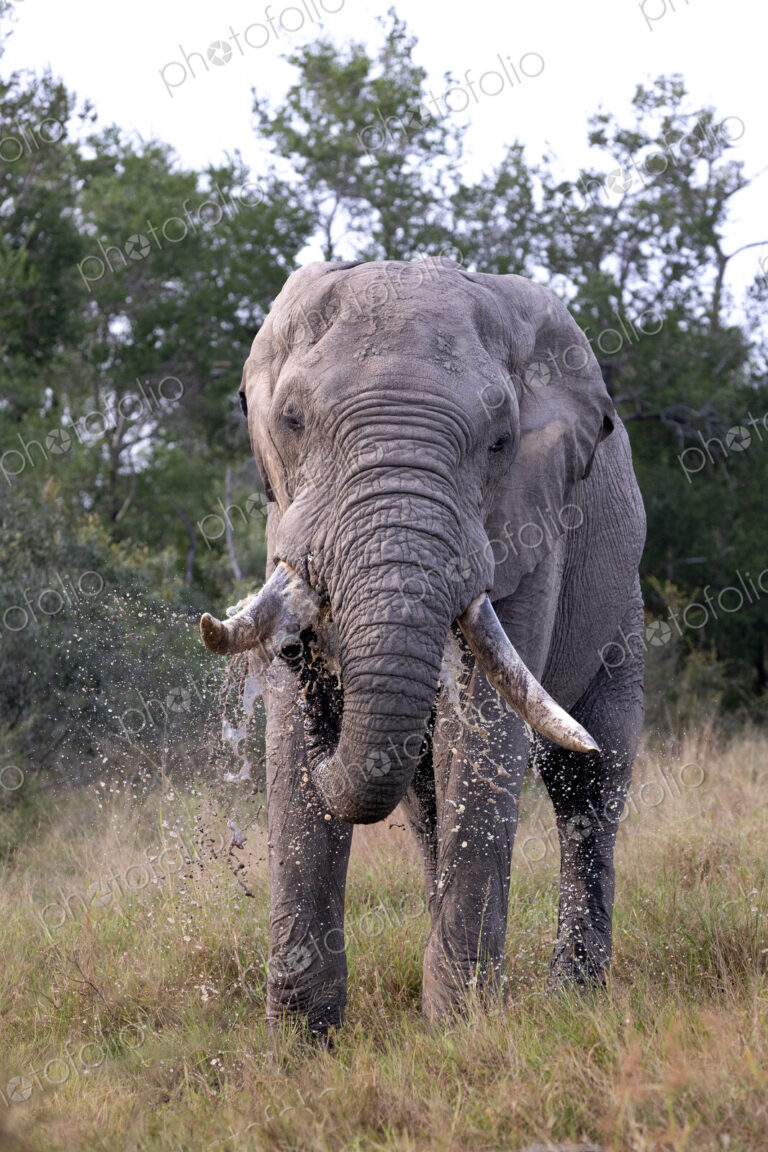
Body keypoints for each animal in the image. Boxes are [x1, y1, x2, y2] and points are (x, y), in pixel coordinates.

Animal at [200, 257, 646, 1034]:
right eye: (291, 421)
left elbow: (484, 728)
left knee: (588, 780)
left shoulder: (528, 528)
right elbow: (293, 758)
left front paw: (461, 1031)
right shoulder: (283, 520)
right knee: (426, 801)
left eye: (500, 441)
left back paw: (573, 998)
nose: (306, 658)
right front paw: (301, 1043)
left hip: (623, 600)